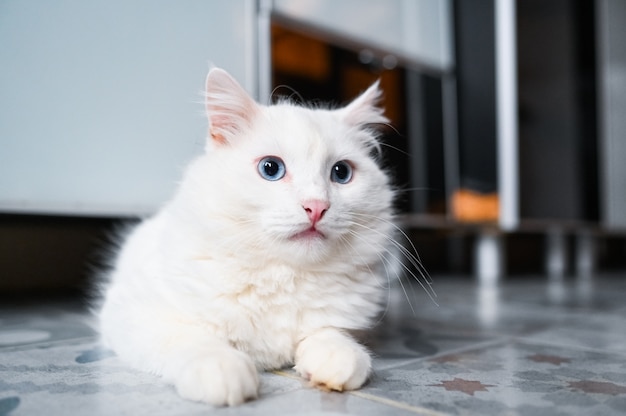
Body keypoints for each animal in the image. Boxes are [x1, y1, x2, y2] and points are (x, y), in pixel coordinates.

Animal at [100, 68, 398, 406]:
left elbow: (330, 334)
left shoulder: (339, 322)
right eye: (271, 169)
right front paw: (222, 369)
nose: (317, 207)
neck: (283, 277)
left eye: (341, 173)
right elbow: (191, 338)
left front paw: (336, 359)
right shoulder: (133, 313)